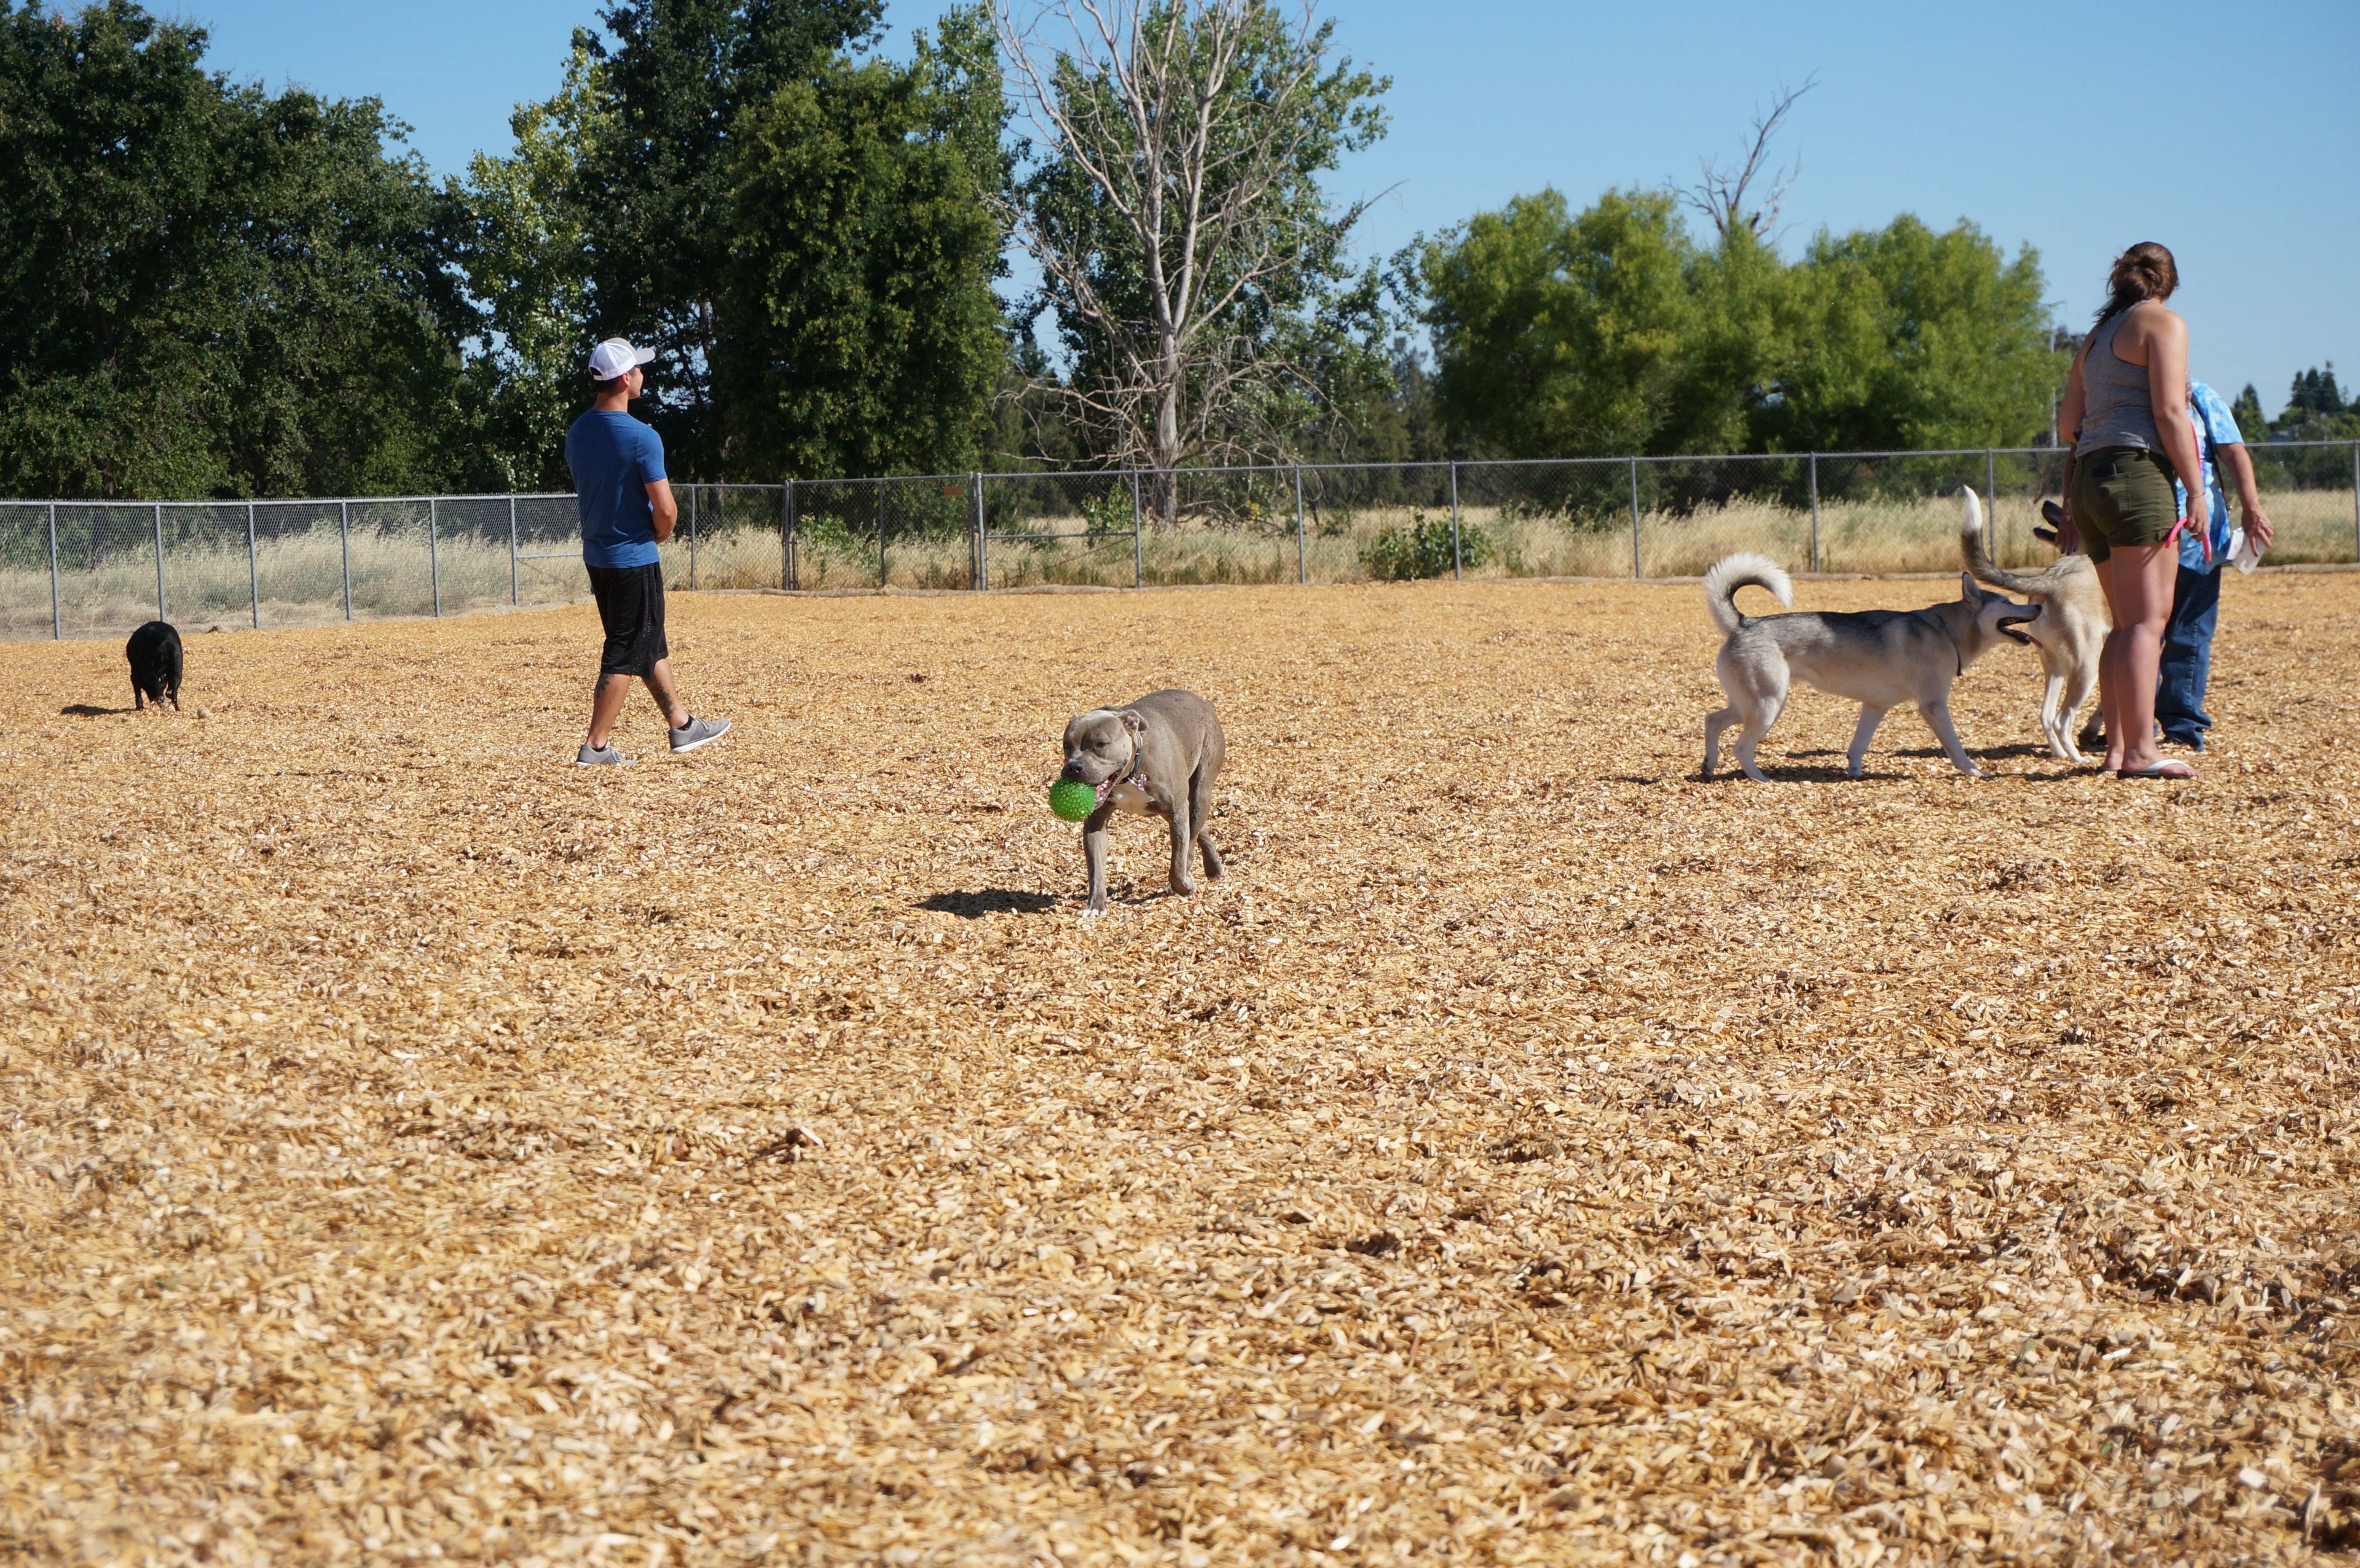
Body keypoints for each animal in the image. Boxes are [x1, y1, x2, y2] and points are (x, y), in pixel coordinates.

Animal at [126, 617, 183, 707]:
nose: (152, 699)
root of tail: (162, 640)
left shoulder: (135, 671)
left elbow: (137, 687)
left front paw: (139, 706)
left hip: (149, 670)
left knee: (158, 689)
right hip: (177, 668)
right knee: (173, 692)